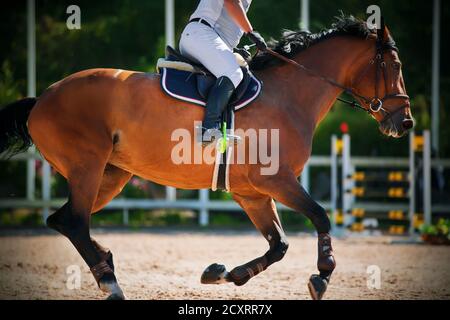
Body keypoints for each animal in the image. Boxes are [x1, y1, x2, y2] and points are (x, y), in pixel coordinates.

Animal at [0, 15, 414, 300]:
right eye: (394, 67)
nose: (406, 122)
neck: (289, 95)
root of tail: (43, 98)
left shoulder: (252, 193)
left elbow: (278, 245)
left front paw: (222, 273)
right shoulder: (276, 180)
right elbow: (321, 216)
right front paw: (322, 275)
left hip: (111, 174)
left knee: (64, 219)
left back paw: (107, 268)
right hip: (88, 167)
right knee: (74, 221)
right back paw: (110, 281)